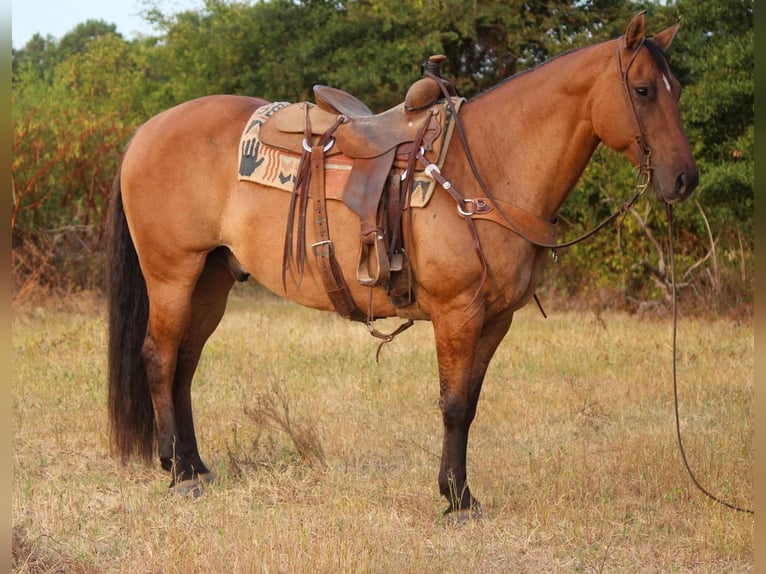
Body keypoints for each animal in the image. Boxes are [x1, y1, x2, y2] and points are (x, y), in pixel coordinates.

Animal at [108, 11, 704, 520]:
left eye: (677, 90)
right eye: (644, 90)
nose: (684, 180)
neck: (489, 168)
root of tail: (145, 132)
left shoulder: (495, 320)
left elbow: (472, 402)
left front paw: (460, 493)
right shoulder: (457, 314)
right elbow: (455, 404)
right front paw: (457, 500)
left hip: (212, 279)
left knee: (185, 365)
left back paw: (196, 464)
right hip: (172, 275)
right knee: (160, 359)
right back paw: (178, 472)